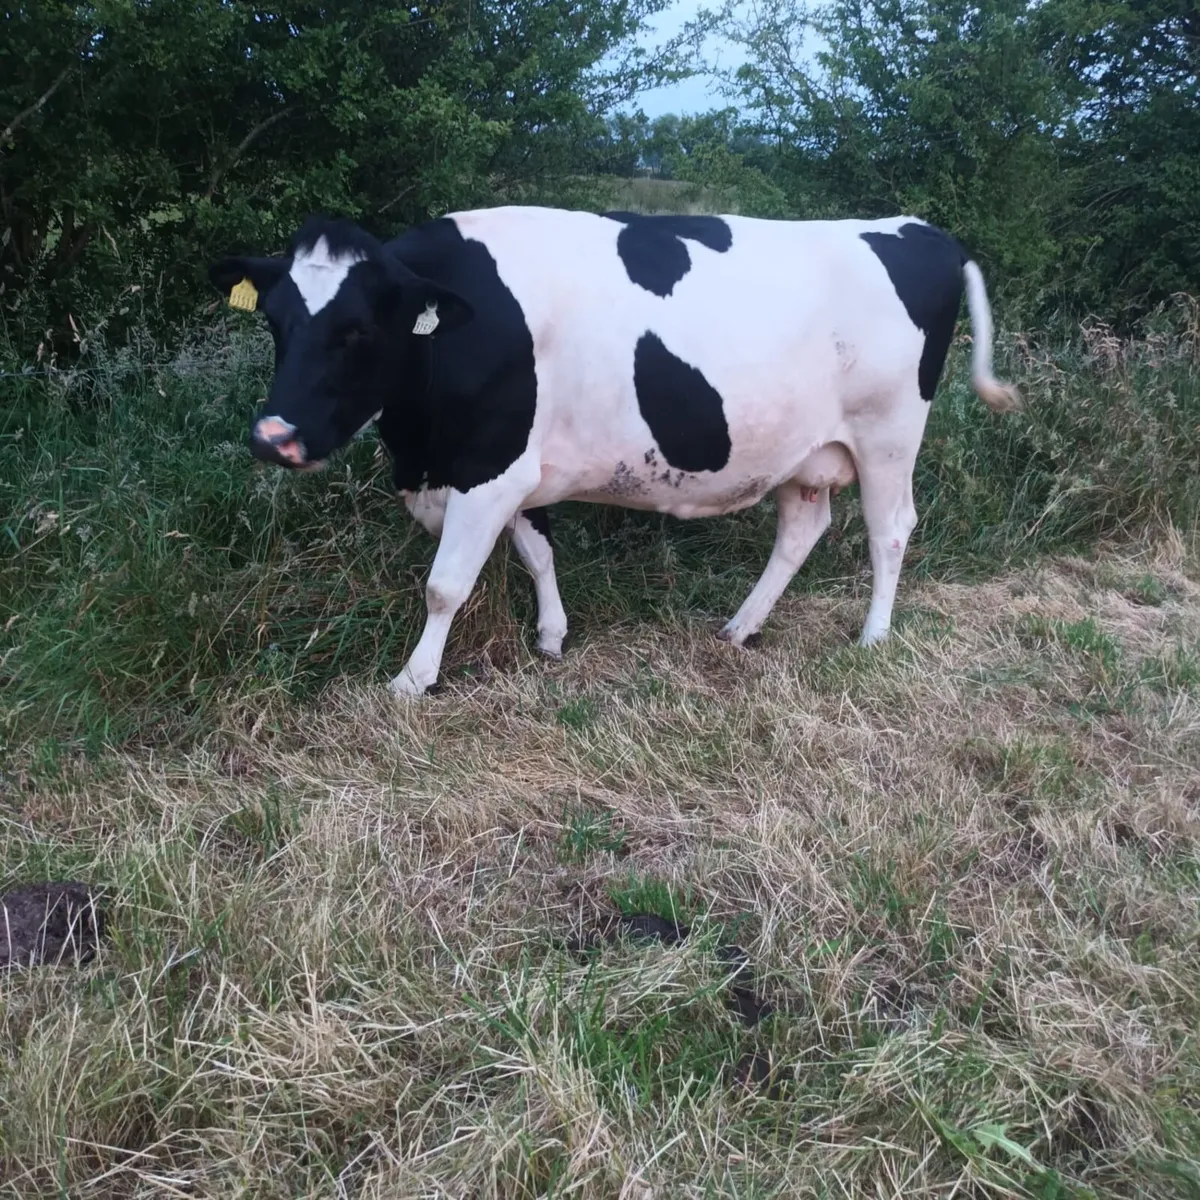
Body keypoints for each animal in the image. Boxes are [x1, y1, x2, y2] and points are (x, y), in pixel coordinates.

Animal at [208, 205, 1020, 697]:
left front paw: (412, 681)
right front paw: (551, 636)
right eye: (276, 321)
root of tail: (915, 229)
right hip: (805, 453)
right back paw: (740, 628)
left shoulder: (489, 467)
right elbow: (538, 552)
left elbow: (445, 586)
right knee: (802, 530)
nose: (272, 436)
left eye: (358, 332)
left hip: (889, 435)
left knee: (890, 531)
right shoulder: (513, 468)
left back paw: (873, 638)